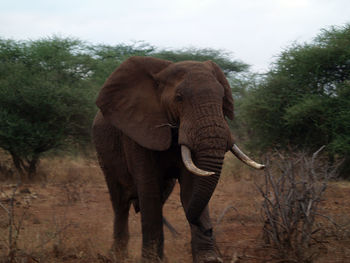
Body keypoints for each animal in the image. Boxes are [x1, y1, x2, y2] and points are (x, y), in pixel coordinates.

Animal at [91, 56, 264, 262]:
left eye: (222, 97)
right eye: (179, 98)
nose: (209, 229)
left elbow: (191, 186)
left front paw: (209, 259)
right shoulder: (138, 132)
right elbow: (149, 188)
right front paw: (151, 260)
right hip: (104, 153)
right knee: (120, 201)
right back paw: (116, 256)